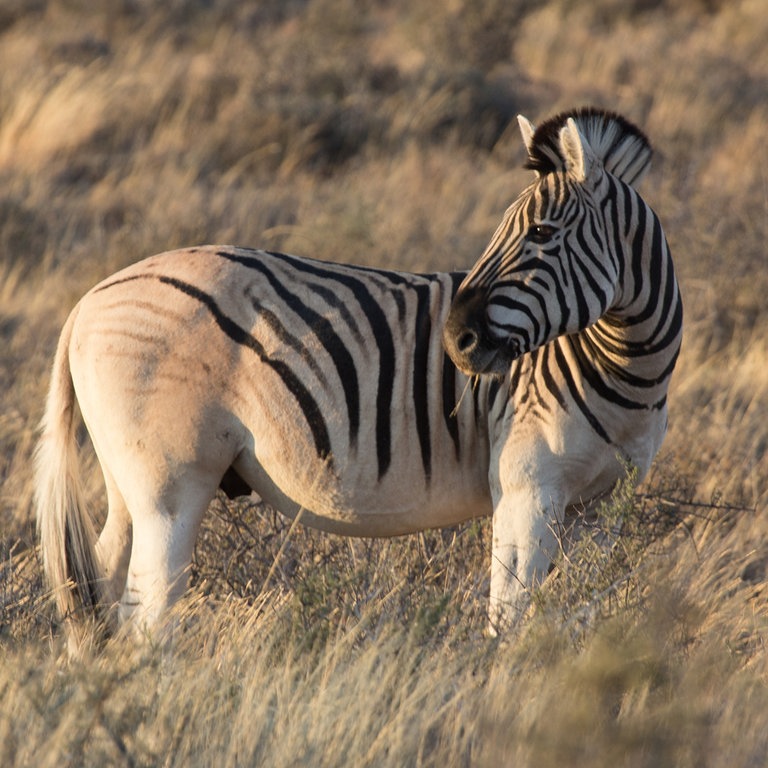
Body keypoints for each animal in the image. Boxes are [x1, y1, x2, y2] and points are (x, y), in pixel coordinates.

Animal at [36, 106, 684, 648]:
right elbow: (512, 615)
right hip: (170, 487)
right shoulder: (525, 487)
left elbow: (579, 607)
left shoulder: (602, 506)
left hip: (127, 483)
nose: (455, 339)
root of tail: (86, 302)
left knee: (95, 590)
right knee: (145, 617)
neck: (628, 368)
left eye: (542, 234)